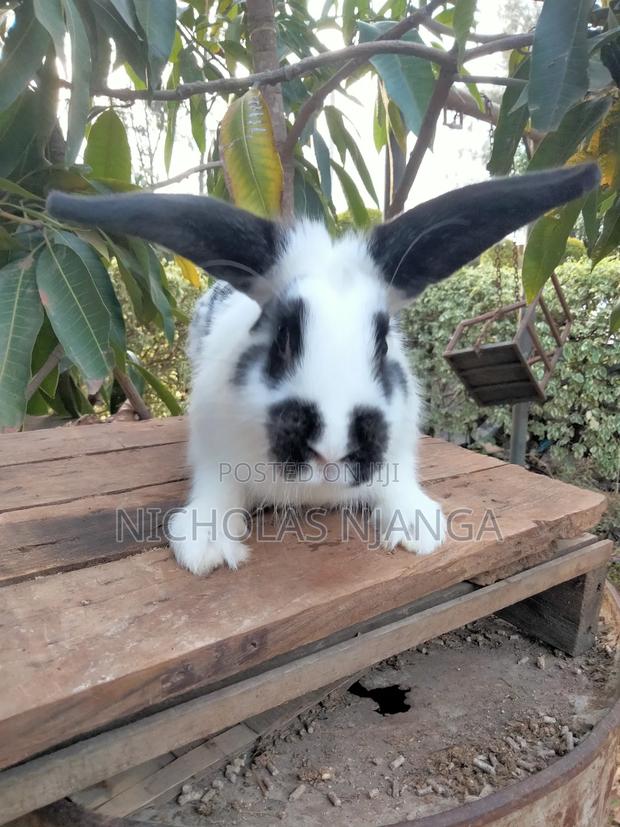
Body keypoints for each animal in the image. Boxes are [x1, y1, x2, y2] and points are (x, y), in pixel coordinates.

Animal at [47, 162, 600, 575]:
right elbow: (217, 489)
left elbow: (397, 484)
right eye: (282, 338)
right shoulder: (213, 450)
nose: (331, 449)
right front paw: (205, 548)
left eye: (382, 341)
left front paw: (419, 530)